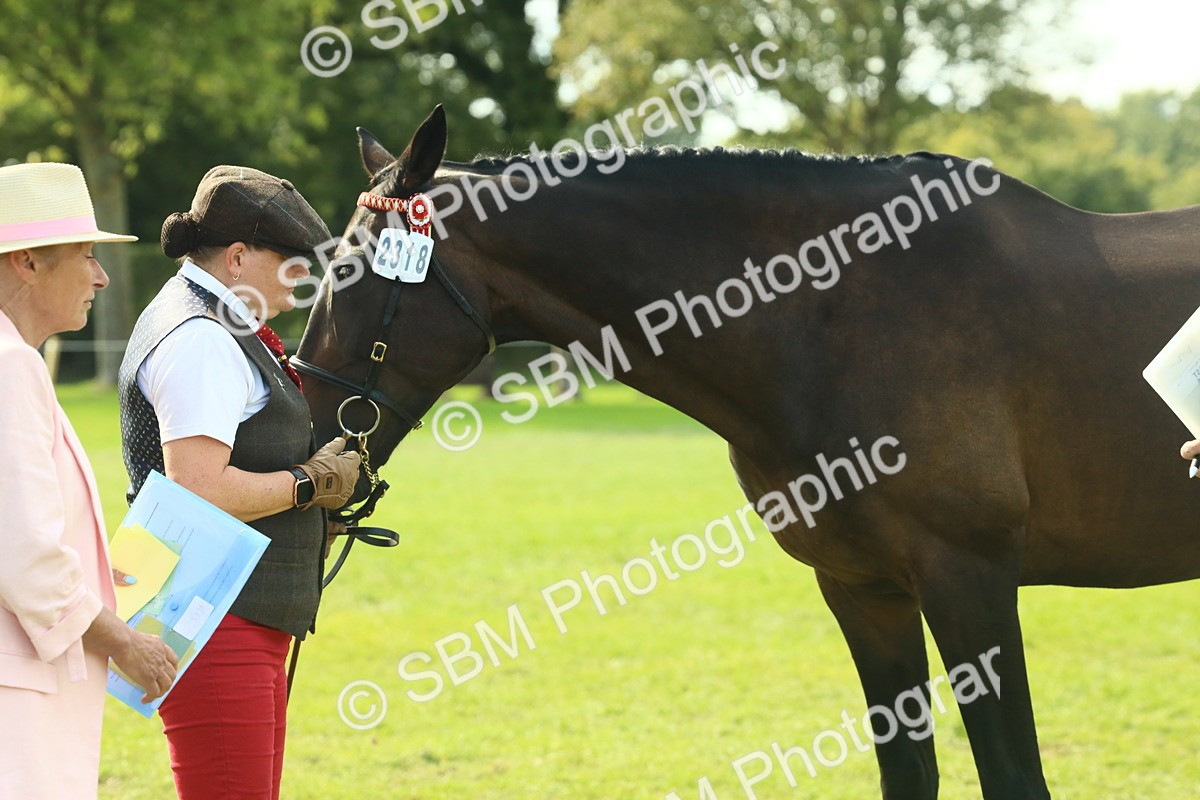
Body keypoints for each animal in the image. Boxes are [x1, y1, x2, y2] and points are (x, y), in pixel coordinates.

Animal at [295, 105, 1200, 800]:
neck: (845, 314)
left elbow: (1014, 778)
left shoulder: (969, 579)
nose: (307, 437)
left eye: (349, 272)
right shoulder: (864, 589)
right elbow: (908, 772)